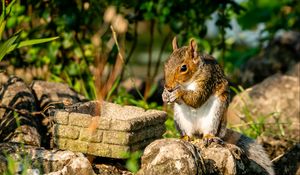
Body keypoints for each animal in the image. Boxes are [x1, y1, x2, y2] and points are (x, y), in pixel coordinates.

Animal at [162, 37, 274, 175]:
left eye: (184, 68)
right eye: (166, 64)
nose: (168, 87)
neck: (189, 81)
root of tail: (198, 132)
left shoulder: (207, 80)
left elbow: (197, 99)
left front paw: (178, 92)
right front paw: (165, 95)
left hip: (215, 115)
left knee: (209, 131)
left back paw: (209, 137)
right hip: (180, 118)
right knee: (189, 134)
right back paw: (185, 137)